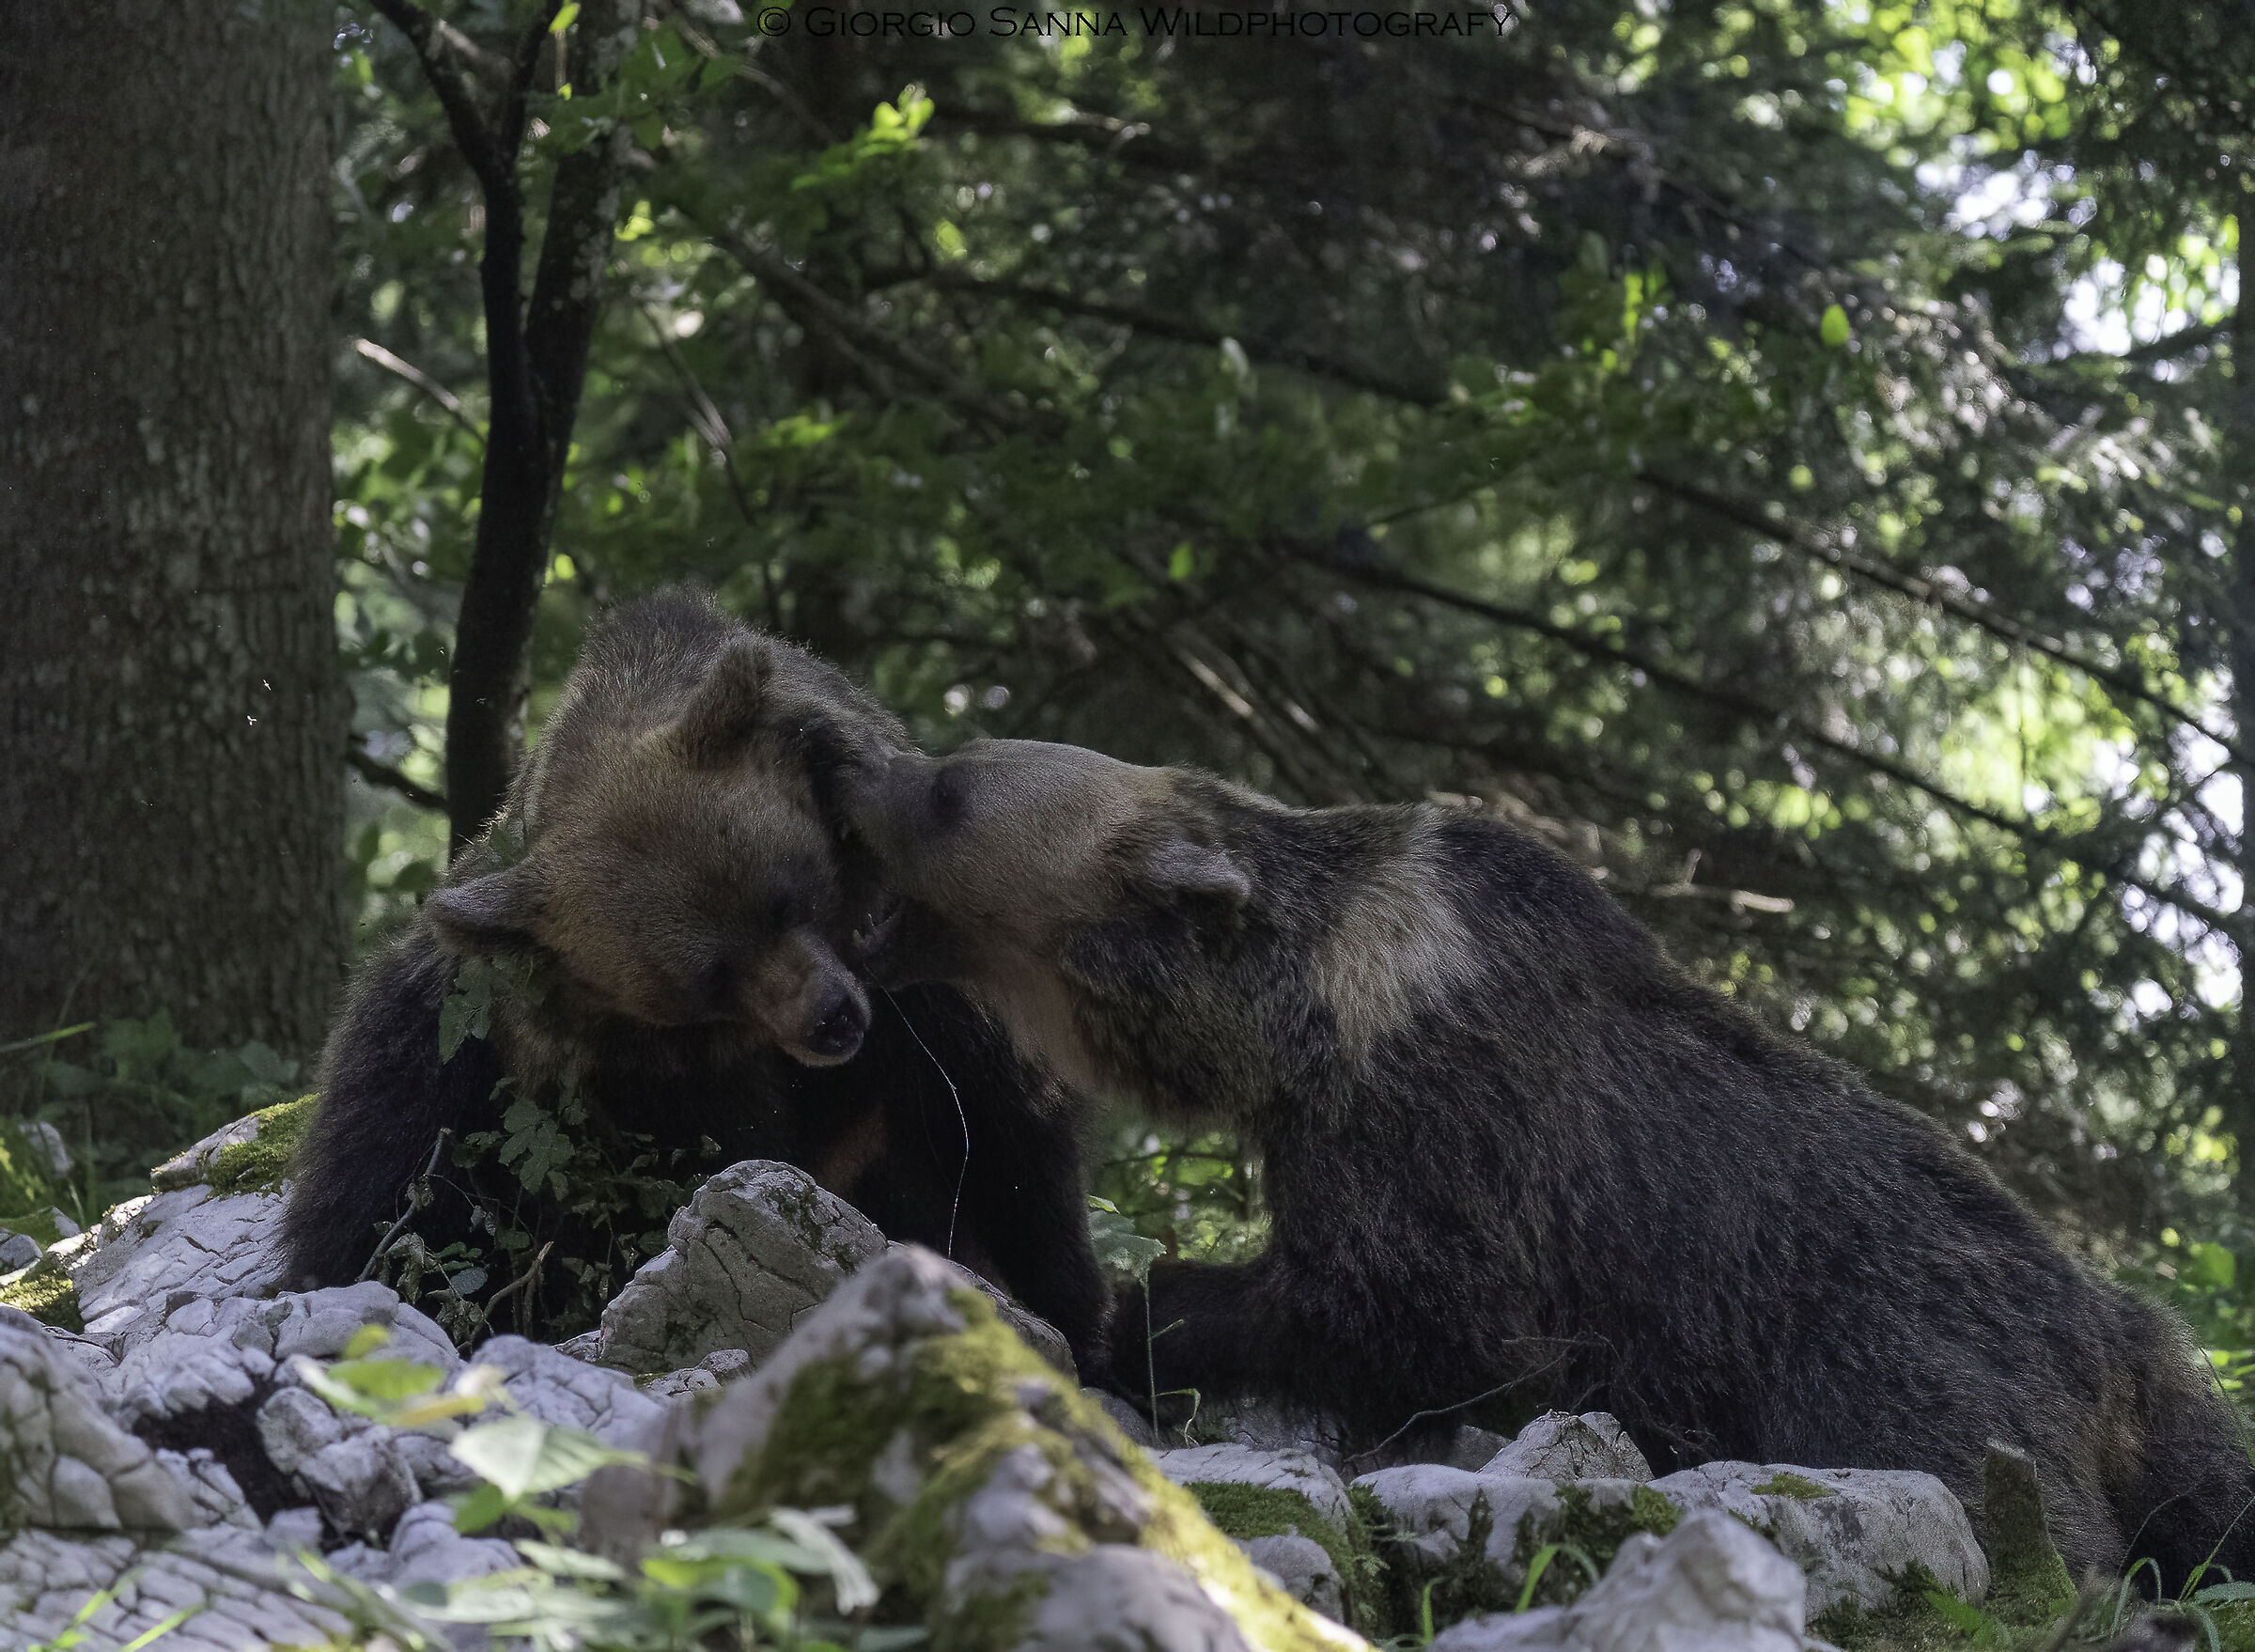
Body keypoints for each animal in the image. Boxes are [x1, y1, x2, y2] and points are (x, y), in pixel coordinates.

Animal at [282, 592, 1104, 1371]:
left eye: (784, 899)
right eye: (709, 978)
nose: (831, 1019)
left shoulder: (936, 990)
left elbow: (1006, 1136)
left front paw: (1078, 1319)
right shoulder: (627, 1087)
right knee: (381, 1192)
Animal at [825, 732, 2255, 1588]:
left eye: (951, 784)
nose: (854, 765)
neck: (1295, 1016)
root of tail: (2121, 1338)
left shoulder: (1439, 1120)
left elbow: (1420, 1308)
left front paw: (1147, 1307)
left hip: (1906, 1352)